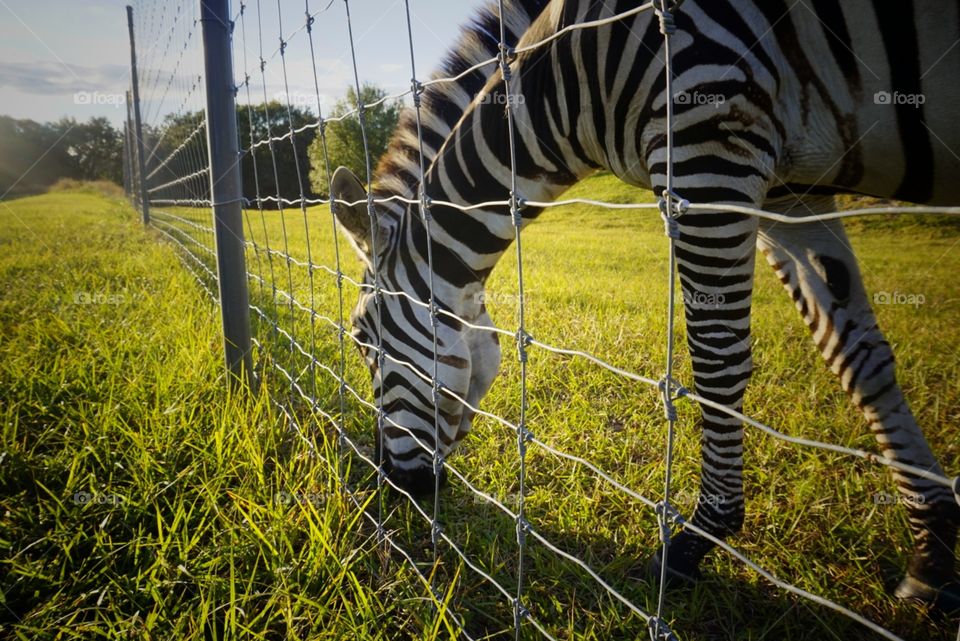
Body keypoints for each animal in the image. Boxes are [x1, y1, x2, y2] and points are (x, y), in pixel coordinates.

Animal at [330, 0, 960, 609]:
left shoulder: (709, 149)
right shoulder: (789, 189)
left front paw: (694, 543)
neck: (561, 77)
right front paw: (932, 555)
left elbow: (717, 363)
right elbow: (856, 355)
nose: (391, 483)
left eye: (363, 338)